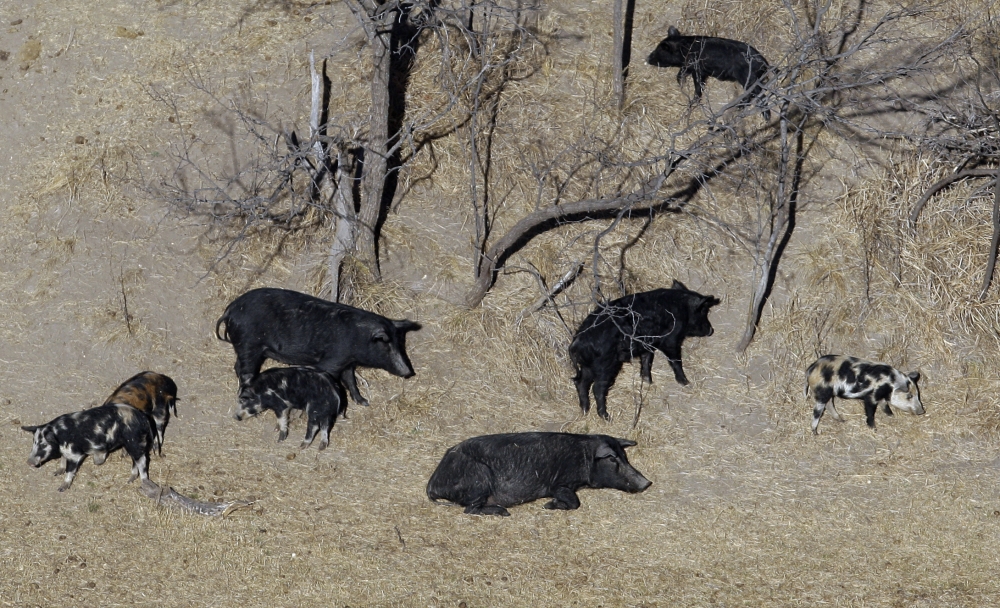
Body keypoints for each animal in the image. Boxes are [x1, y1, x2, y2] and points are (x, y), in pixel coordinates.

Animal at [21, 403, 153, 491]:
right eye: (33, 442)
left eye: (44, 444)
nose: (29, 462)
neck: (60, 435)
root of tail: (143, 419)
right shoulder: (66, 452)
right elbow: (62, 460)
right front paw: (57, 472)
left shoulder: (75, 455)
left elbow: (70, 471)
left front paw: (61, 488)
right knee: (135, 460)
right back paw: (130, 480)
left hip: (134, 441)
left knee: (142, 461)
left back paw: (144, 483)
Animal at [215, 287, 421, 407]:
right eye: (386, 345)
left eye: (400, 343)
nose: (408, 372)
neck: (357, 338)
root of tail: (230, 310)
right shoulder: (332, 361)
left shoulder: (347, 363)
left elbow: (351, 381)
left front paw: (364, 402)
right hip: (249, 345)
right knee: (245, 371)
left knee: (237, 367)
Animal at [427, 432, 651, 516]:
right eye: (613, 459)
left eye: (625, 456)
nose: (647, 483)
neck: (584, 457)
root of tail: (431, 484)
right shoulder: (558, 483)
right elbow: (574, 502)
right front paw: (549, 505)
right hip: (479, 478)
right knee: (469, 509)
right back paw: (503, 512)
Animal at [569, 281, 721, 420]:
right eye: (704, 311)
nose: (711, 330)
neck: (682, 309)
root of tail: (577, 342)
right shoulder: (670, 341)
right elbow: (675, 361)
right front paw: (686, 383)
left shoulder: (647, 344)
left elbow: (647, 360)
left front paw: (648, 382)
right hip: (605, 365)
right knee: (597, 388)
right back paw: (607, 417)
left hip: (589, 366)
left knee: (580, 382)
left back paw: (585, 411)